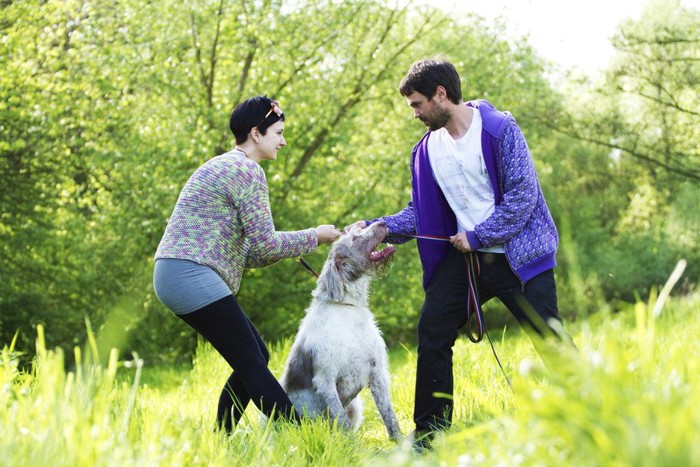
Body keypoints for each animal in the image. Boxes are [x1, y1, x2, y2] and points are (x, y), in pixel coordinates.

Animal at [278, 221, 400, 440]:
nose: (382, 223)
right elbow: (342, 421)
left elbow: (390, 416)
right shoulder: (325, 379)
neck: (348, 308)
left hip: (356, 406)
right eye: (355, 238)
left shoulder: (377, 372)